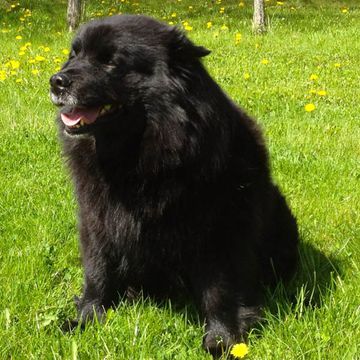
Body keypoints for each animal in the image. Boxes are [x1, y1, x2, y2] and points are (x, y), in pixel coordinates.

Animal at [50, 15, 298, 356]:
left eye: (110, 61)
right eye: (73, 55)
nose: (56, 81)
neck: (137, 157)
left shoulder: (219, 231)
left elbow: (219, 291)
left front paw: (222, 340)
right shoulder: (96, 219)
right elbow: (97, 273)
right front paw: (85, 319)